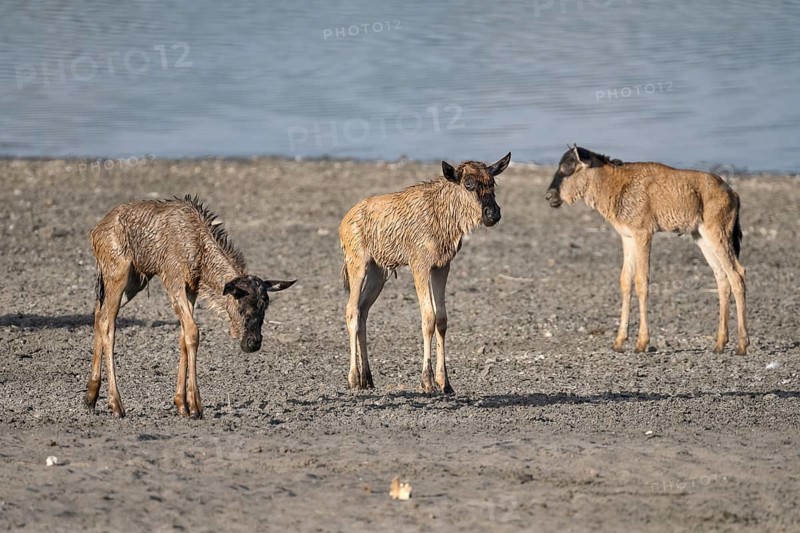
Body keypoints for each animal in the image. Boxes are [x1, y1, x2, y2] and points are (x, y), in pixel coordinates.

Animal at [85, 195, 295, 418]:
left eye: (265, 306)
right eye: (239, 306)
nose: (252, 343)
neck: (200, 252)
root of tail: (95, 231)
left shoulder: (191, 290)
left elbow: (183, 337)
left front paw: (181, 403)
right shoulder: (173, 280)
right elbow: (193, 332)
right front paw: (195, 406)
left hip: (134, 282)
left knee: (98, 314)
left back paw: (90, 397)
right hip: (117, 272)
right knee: (107, 323)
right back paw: (116, 404)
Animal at [339, 152, 511, 393]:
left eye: (492, 182)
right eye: (468, 184)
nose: (493, 214)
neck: (444, 216)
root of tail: (343, 223)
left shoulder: (441, 266)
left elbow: (442, 319)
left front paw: (445, 383)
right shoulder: (419, 264)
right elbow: (428, 318)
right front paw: (427, 381)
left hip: (377, 272)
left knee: (363, 311)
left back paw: (368, 378)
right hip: (358, 263)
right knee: (352, 310)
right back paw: (354, 378)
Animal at [545, 145, 748, 355]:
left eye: (569, 167)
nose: (549, 196)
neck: (617, 184)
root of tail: (733, 193)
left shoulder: (644, 234)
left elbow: (641, 281)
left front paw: (641, 342)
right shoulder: (627, 238)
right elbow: (625, 281)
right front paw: (619, 341)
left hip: (717, 233)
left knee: (737, 274)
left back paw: (742, 345)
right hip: (701, 237)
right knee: (722, 277)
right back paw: (720, 344)